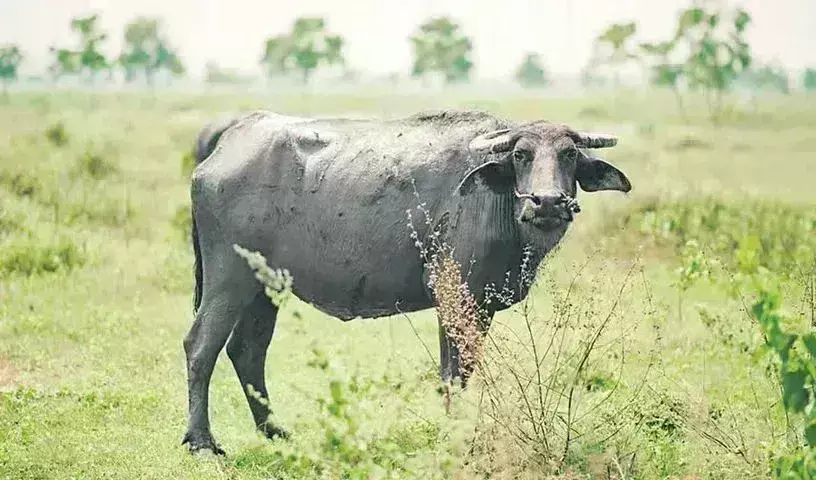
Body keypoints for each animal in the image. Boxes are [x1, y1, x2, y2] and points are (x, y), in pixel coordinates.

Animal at [182, 109, 631, 454]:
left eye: (569, 154)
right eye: (521, 155)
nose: (547, 202)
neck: (496, 201)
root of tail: (225, 143)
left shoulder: (478, 306)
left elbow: (462, 372)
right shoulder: (454, 297)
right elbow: (453, 374)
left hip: (264, 288)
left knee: (247, 351)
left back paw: (274, 430)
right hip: (228, 280)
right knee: (200, 346)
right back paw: (201, 441)